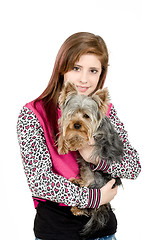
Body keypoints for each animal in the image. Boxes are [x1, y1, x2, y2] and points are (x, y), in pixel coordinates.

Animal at [57, 82, 124, 238]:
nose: (76, 124)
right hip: (86, 171)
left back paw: (78, 206)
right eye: (72, 113)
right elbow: (64, 131)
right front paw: (63, 144)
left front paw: (74, 142)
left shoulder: (99, 138)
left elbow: (84, 139)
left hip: (98, 183)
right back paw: (78, 182)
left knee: (92, 201)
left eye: (86, 116)